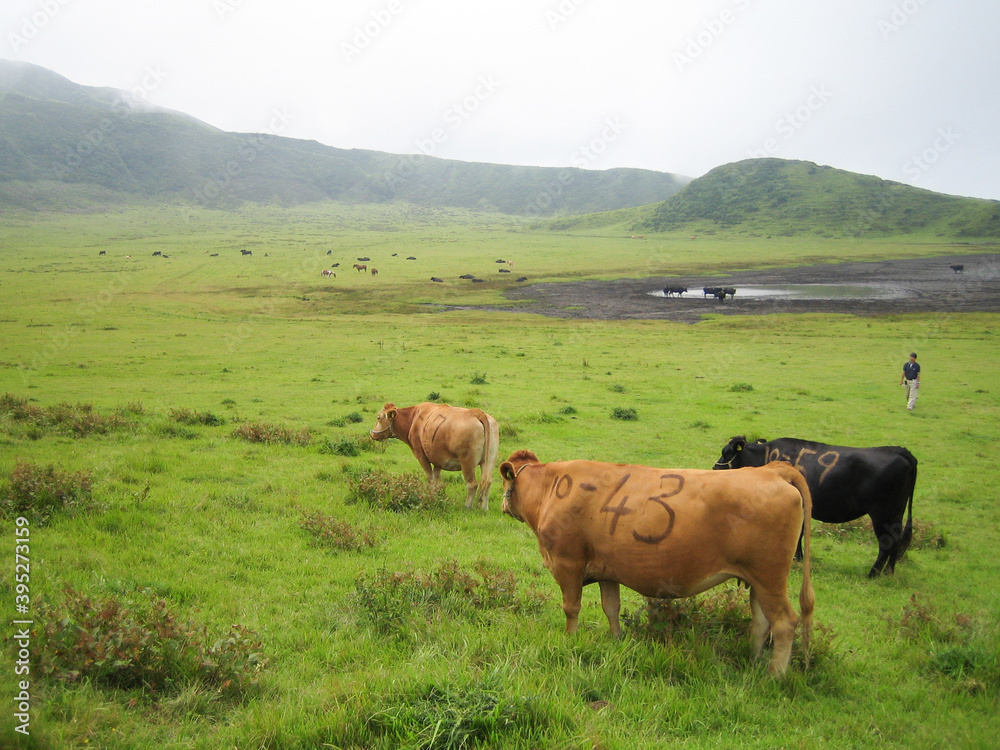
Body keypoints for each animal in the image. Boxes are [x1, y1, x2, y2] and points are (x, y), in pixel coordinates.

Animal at [372, 402, 500, 516]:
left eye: (378, 417)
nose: (372, 434)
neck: (413, 418)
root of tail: (476, 412)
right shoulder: (438, 460)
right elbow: (437, 479)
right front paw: (436, 495)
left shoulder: (421, 455)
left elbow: (430, 478)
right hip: (488, 461)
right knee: (487, 481)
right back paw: (484, 508)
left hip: (467, 462)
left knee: (472, 484)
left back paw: (467, 506)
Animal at [500, 452, 812, 680]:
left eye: (504, 483)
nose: (502, 507)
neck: (550, 488)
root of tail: (772, 470)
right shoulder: (607, 570)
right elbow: (611, 607)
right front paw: (616, 639)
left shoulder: (567, 563)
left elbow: (571, 608)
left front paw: (570, 638)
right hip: (758, 581)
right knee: (761, 622)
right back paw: (753, 660)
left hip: (769, 577)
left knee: (784, 622)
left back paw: (774, 675)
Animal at [716, 438, 916, 580]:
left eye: (726, 453)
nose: (714, 467)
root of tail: (901, 452)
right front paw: (797, 557)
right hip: (896, 514)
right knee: (897, 540)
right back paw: (888, 572)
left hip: (882, 513)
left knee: (886, 542)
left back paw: (873, 574)